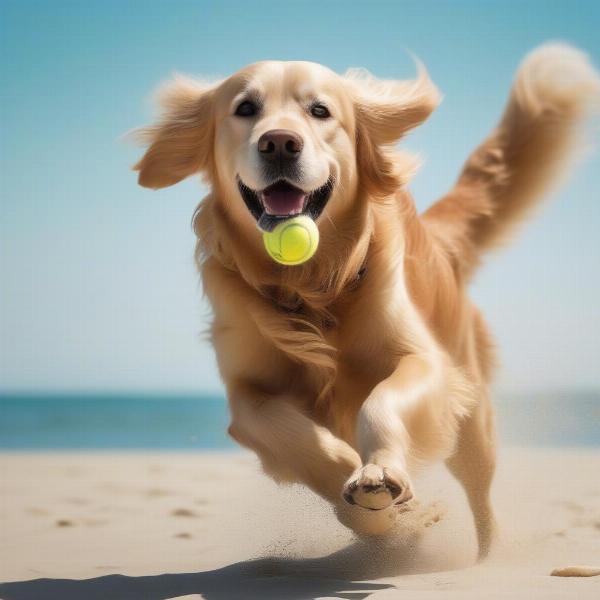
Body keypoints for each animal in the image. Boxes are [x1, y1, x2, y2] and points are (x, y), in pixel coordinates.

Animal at [132, 45, 600, 556]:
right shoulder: (246, 393)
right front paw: (363, 498)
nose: (279, 143)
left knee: (482, 497)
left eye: (320, 111)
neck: (312, 286)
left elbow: (382, 401)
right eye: (245, 108)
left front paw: (380, 474)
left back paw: (489, 556)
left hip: (472, 421)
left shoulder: (423, 361)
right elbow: (288, 430)